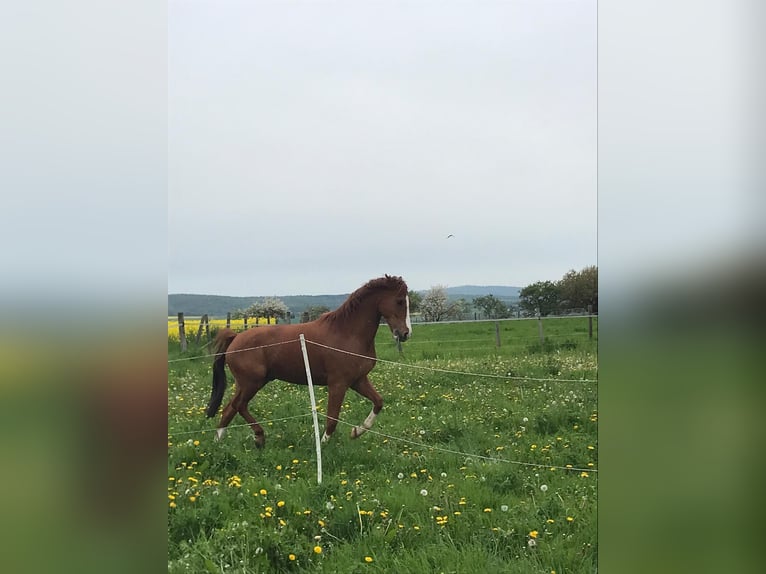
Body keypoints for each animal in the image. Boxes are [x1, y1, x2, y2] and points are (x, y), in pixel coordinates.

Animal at [201, 276, 412, 448]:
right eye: (400, 301)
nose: (405, 333)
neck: (347, 332)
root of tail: (235, 338)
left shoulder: (358, 380)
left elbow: (378, 402)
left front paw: (356, 432)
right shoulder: (338, 383)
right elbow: (332, 419)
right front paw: (322, 444)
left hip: (247, 383)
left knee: (229, 409)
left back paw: (220, 443)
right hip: (252, 382)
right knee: (238, 406)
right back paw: (259, 437)